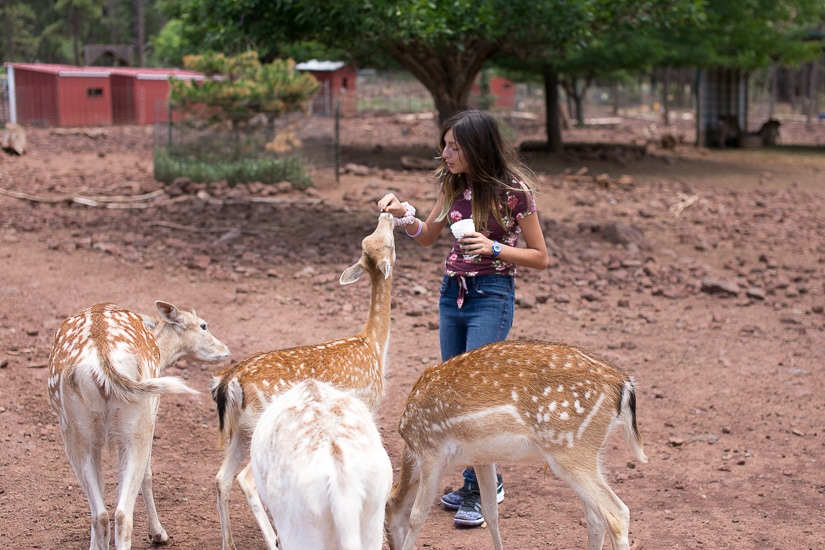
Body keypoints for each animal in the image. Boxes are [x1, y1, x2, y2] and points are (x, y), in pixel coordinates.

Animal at [48, 302, 230, 550]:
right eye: (203, 325)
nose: (226, 349)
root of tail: (103, 359)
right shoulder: (151, 419)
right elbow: (148, 474)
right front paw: (158, 534)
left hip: (75, 429)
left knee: (100, 515)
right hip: (138, 421)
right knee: (123, 514)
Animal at [386, 340, 652, 550]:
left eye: (383, 520)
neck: (410, 443)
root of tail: (624, 384)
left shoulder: (431, 452)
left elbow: (416, 514)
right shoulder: (481, 458)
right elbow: (491, 513)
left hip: (569, 451)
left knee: (617, 513)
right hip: (588, 452)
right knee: (596, 519)